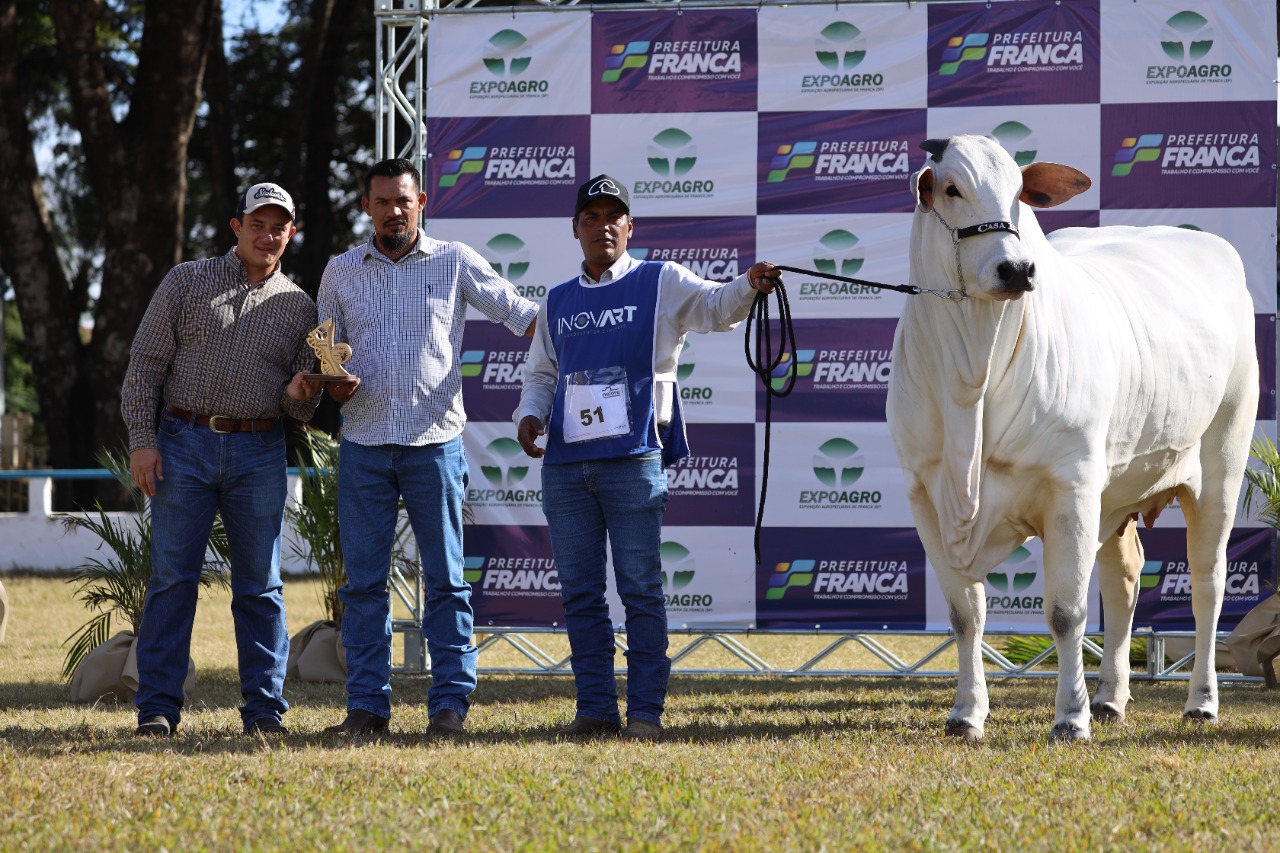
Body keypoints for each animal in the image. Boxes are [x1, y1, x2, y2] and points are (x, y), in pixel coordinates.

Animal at [885, 133, 1254, 737]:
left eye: (1019, 191)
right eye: (951, 188)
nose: (1016, 269)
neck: (971, 379)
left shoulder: (1071, 487)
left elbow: (1066, 613)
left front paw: (1070, 718)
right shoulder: (925, 496)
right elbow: (966, 614)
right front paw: (967, 712)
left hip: (1222, 462)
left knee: (1208, 585)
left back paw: (1200, 700)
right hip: (1116, 491)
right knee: (1124, 579)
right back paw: (1110, 698)